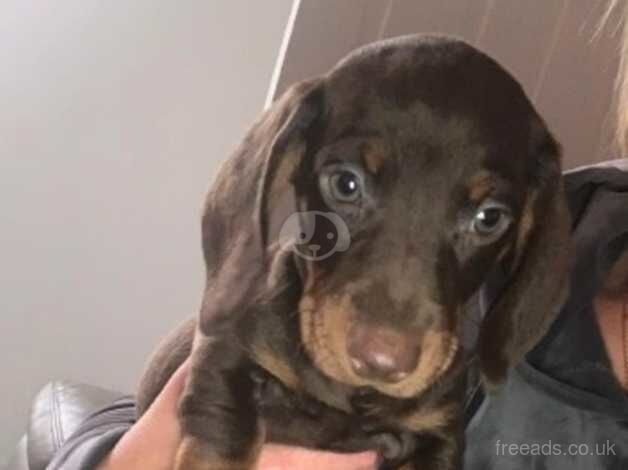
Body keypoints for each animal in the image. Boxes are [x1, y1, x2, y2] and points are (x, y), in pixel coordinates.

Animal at [136, 35, 568, 470]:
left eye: (489, 218)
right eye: (346, 183)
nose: (382, 363)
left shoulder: (436, 434)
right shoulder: (225, 359)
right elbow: (222, 435)